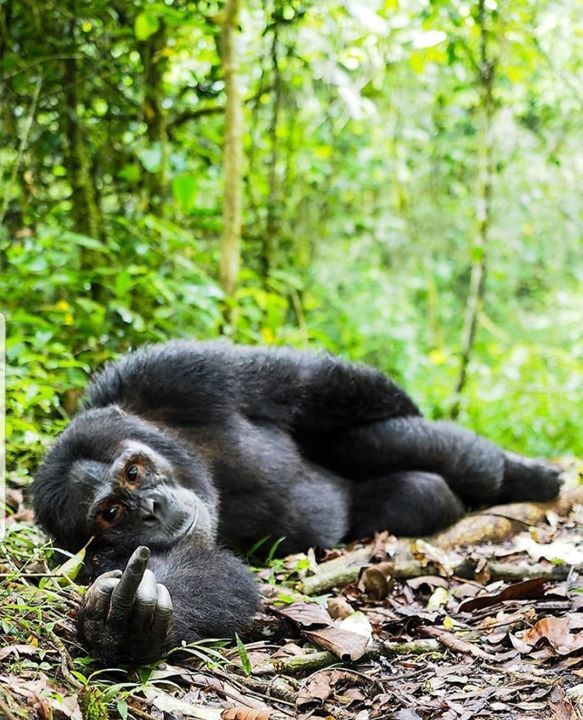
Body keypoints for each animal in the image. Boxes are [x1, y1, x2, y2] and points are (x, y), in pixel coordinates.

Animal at [33, 342, 560, 664]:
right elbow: (202, 571)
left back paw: (522, 476)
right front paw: (125, 622)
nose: (151, 508)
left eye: (134, 473)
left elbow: (311, 384)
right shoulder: (96, 558)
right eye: (112, 514)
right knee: (421, 493)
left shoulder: (176, 373)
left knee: (375, 439)